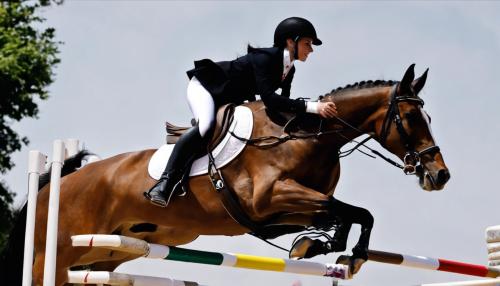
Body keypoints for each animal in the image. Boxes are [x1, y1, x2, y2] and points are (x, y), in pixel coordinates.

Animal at [1, 63, 450, 284]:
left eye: (429, 116)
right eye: (412, 118)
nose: (440, 175)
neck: (306, 136)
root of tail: (52, 187)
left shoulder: (280, 213)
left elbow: (350, 213)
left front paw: (325, 249)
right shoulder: (269, 199)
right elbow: (347, 211)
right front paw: (329, 249)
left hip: (104, 256)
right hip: (55, 257)